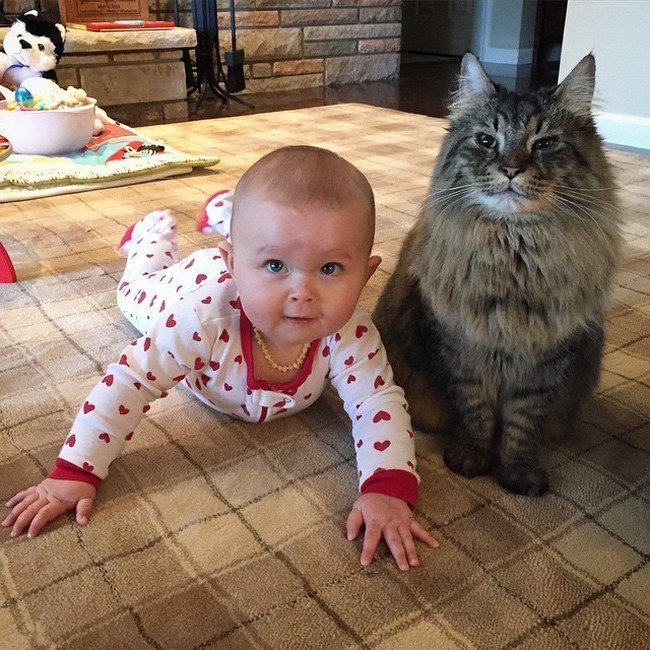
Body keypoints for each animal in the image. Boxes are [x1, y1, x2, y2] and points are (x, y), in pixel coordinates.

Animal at [372, 53, 620, 494]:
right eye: (487, 140)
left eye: (545, 143)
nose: (510, 169)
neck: (514, 257)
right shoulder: (460, 346)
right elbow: (475, 412)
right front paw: (471, 458)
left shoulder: (546, 358)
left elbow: (523, 423)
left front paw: (519, 472)